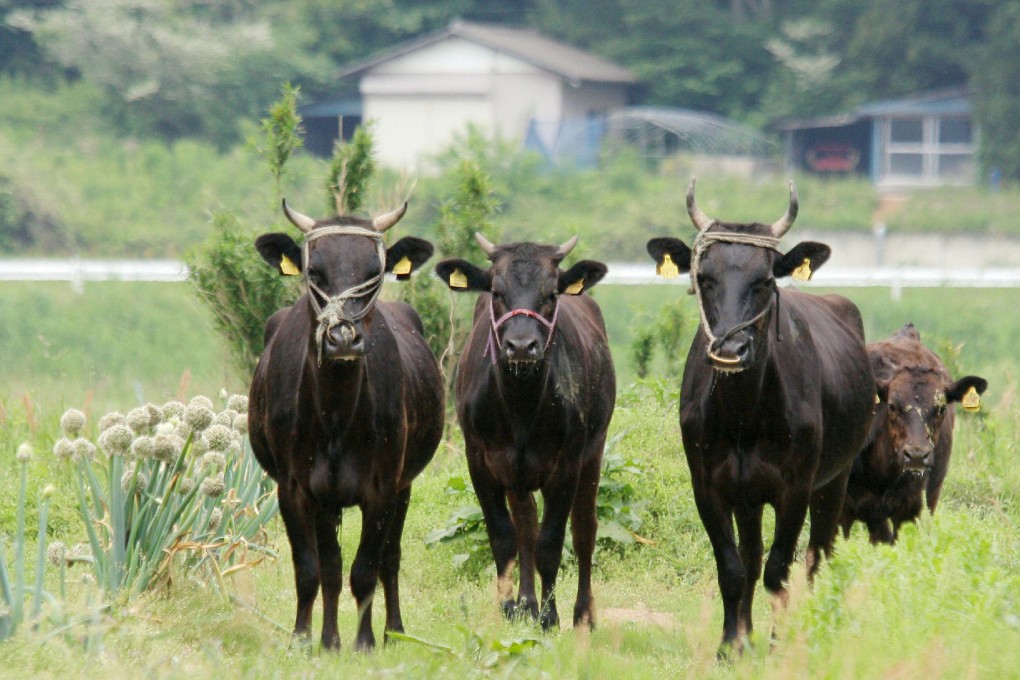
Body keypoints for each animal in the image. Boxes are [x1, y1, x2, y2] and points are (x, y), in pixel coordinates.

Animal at [247, 200, 444, 651]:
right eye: (314, 271)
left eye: (374, 271)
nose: (342, 339)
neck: (335, 416)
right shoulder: (295, 488)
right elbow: (312, 569)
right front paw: (306, 639)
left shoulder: (382, 489)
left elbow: (366, 568)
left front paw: (365, 641)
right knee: (331, 566)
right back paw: (329, 636)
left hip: (404, 486)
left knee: (391, 558)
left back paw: (394, 630)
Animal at [434, 234, 615, 631]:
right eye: (496, 291)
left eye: (550, 293)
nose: (520, 346)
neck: (521, 405)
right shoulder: (479, 460)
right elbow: (506, 537)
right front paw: (511, 607)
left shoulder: (566, 464)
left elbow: (551, 542)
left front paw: (550, 616)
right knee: (526, 525)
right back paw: (527, 604)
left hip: (593, 453)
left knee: (584, 529)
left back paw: (583, 613)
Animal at [646, 179, 874, 652]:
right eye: (704, 277)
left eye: (765, 280)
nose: (731, 350)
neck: (744, 417)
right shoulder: (710, 488)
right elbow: (734, 569)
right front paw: (732, 643)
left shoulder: (796, 489)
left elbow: (779, 569)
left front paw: (777, 642)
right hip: (750, 498)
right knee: (752, 557)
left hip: (835, 481)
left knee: (818, 555)